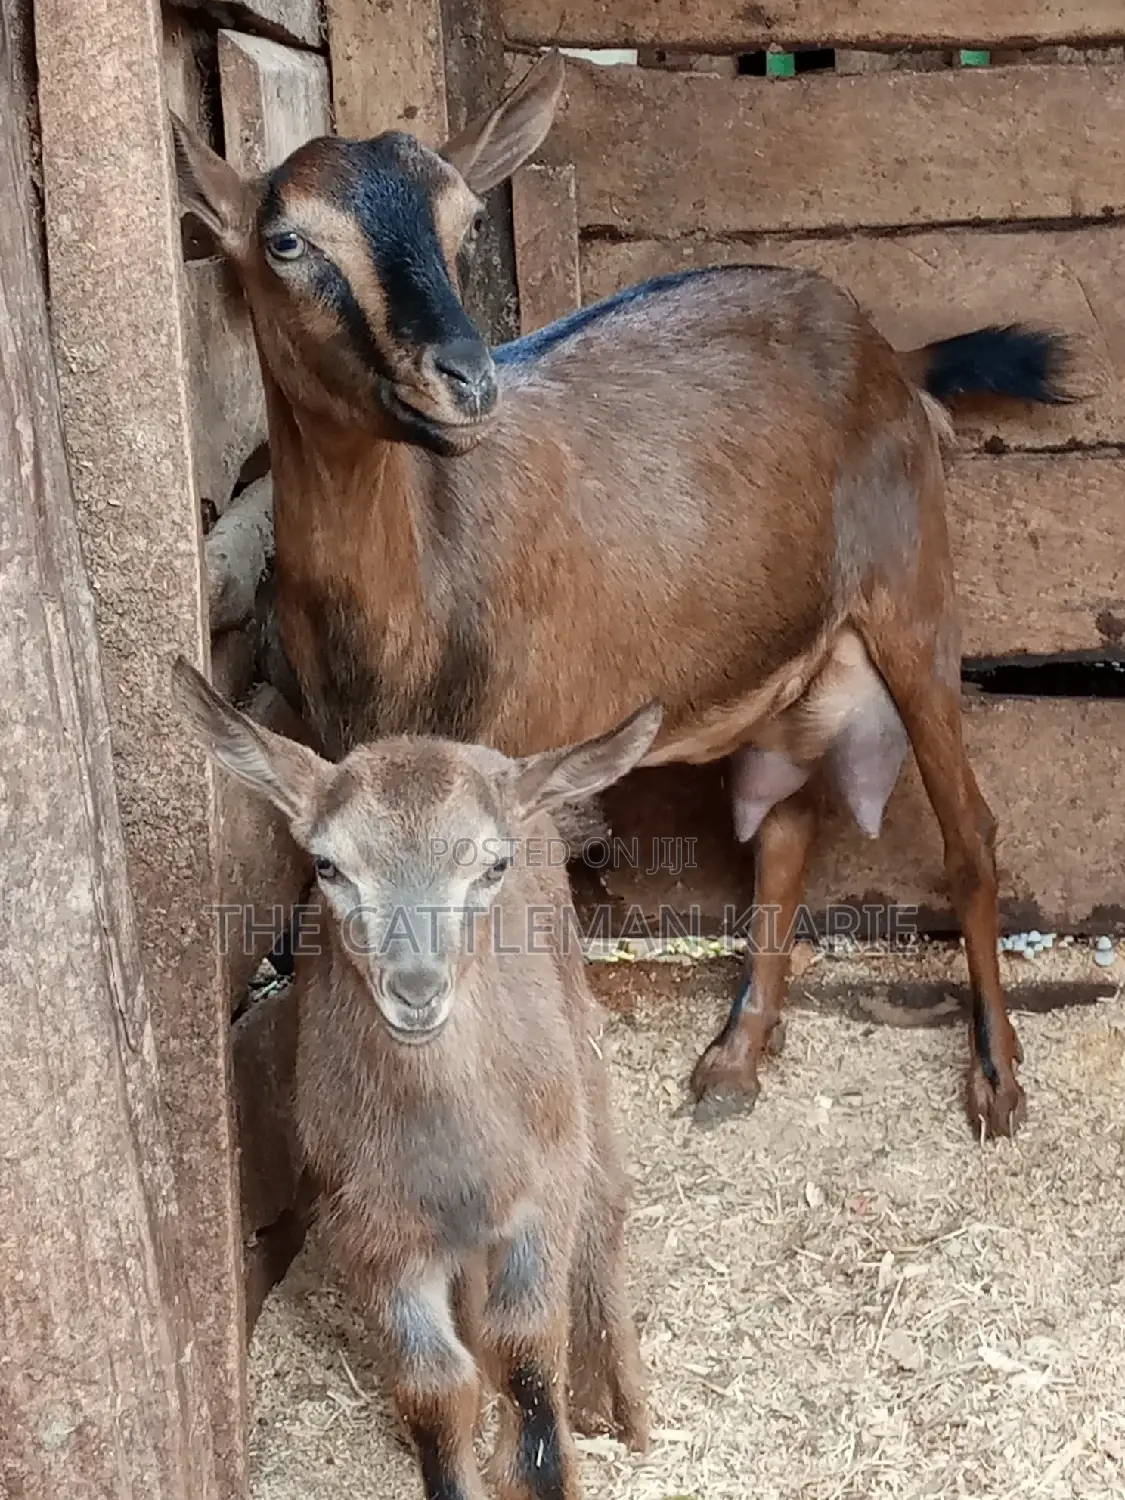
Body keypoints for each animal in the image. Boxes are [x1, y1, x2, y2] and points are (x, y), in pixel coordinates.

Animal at [170, 51, 1071, 1141]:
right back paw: (735, 1058)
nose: (465, 380)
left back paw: (997, 1077)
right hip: (781, 659)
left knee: (969, 828)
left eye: (464, 223)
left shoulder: (518, 772)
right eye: (288, 241)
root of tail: (888, 351)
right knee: (784, 833)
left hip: (913, 593)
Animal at [174, 656, 656, 1500]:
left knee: (603, 1202)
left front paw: (544, 1461)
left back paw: (620, 1401)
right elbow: (435, 1387)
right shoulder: (376, 1227)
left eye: (491, 865)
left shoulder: (541, 1193)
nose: (416, 990)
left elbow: (527, 1349)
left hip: (577, 1045)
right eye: (328, 866)